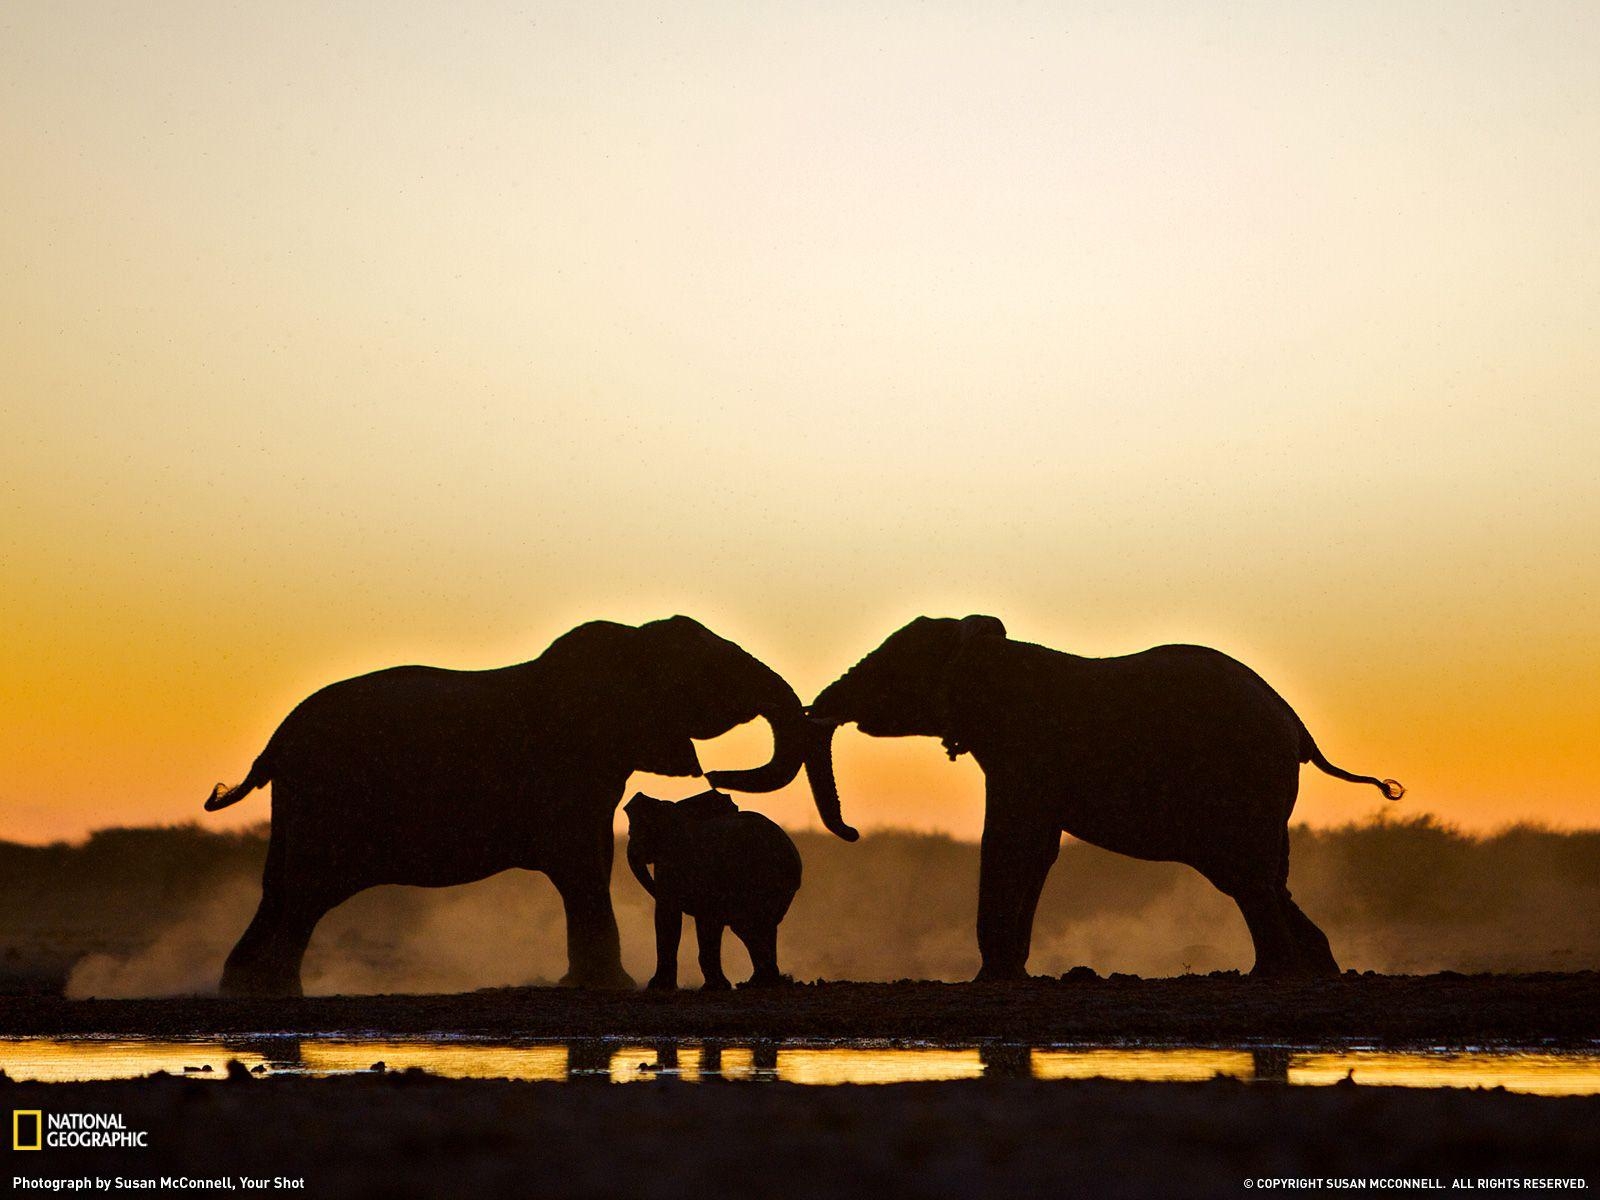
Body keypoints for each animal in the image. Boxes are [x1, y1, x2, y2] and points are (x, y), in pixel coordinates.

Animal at [620, 790, 800, 998]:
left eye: (632, 832)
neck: (675, 808)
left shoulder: (673, 860)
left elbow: (669, 913)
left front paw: (659, 987)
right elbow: (702, 919)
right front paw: (716, 987)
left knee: (746, 926)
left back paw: (762, 982)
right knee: (763, 926)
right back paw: (764, 982)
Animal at [800, 614, 1401, 979]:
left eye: (889, 666)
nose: (852, 831)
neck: (987, 652)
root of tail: (1296, 726)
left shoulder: (1025, 750)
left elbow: (1008, 840)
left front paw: (989, 978)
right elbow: (1039, 850)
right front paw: (1011, 974)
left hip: (1243, 782)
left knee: (1249, 878)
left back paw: (1270, 975)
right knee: (1266, 879)